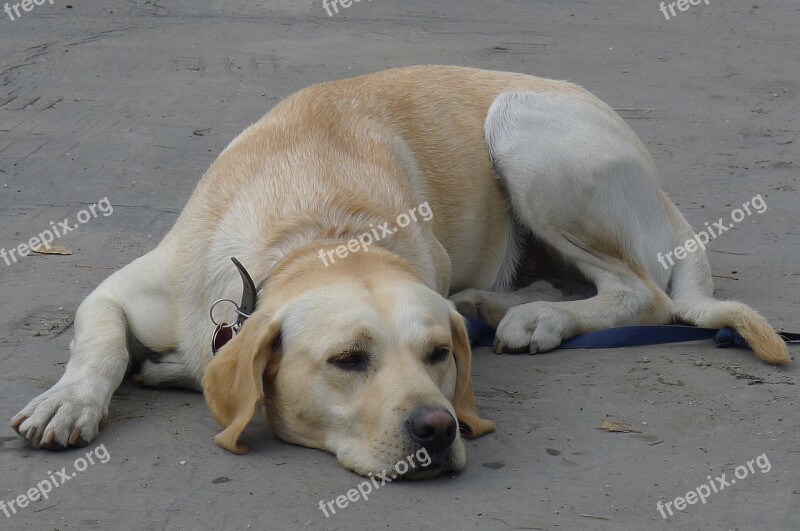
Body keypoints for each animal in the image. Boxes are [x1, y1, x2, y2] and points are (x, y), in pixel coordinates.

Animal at [9, 65, 792, 478]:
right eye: (347, 360)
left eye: (438, 356)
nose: (437, 428)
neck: (320, 232)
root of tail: (662, 192)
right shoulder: (118, 292)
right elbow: (101, 345)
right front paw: (70, 400)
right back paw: (502, 301)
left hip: (521, 127)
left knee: (644, 292)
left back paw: (535, 318)